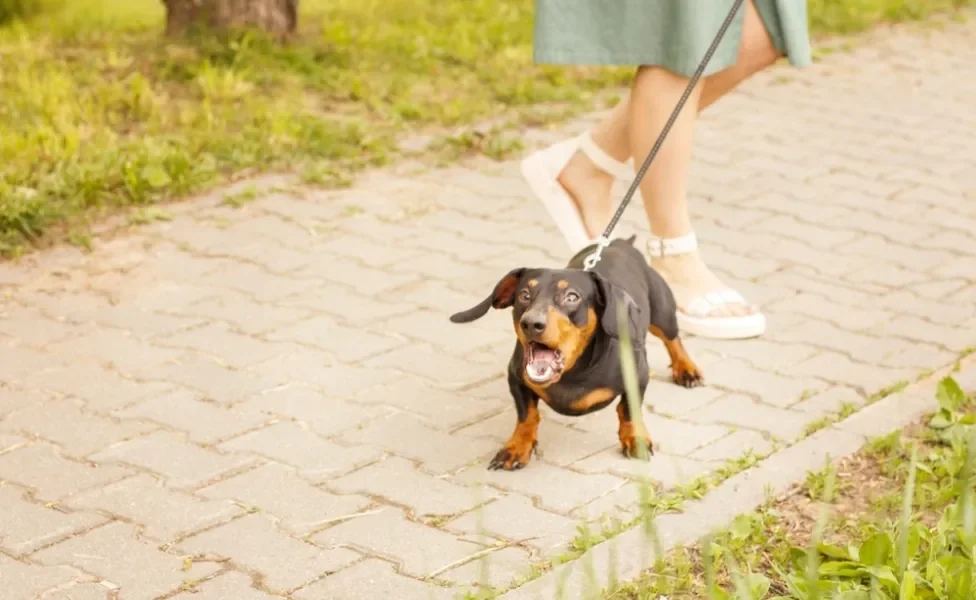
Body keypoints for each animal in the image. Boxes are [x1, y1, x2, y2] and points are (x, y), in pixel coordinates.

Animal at [450, 237, 700, 472]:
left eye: (572, 297)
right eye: (524, 295)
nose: (531, 324)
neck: (575, 371)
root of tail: (620, 243)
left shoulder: (638, 375)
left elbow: (628, 410)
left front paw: (634, 438)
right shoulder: (516, 377)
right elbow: (527, 415)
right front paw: (517, 447)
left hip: (662, 313)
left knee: (673, 338)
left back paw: (687, 369)